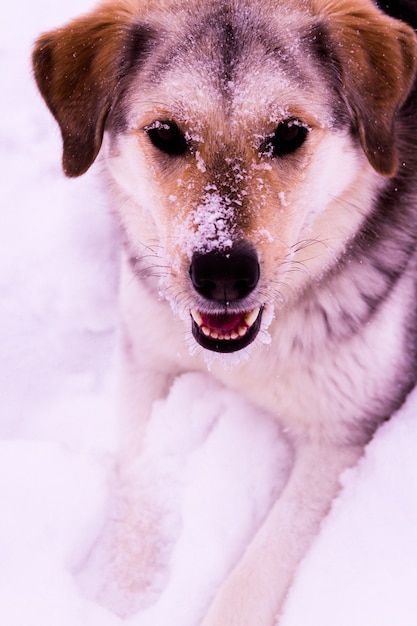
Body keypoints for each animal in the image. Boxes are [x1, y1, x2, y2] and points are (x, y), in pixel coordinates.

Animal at [31, 0, 416, 620]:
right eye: (166, 134)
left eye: (289, 133)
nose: (224, 272)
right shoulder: (148, 357)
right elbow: (140, 488)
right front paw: (124, 600)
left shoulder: (342, 432)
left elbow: (255, 571)